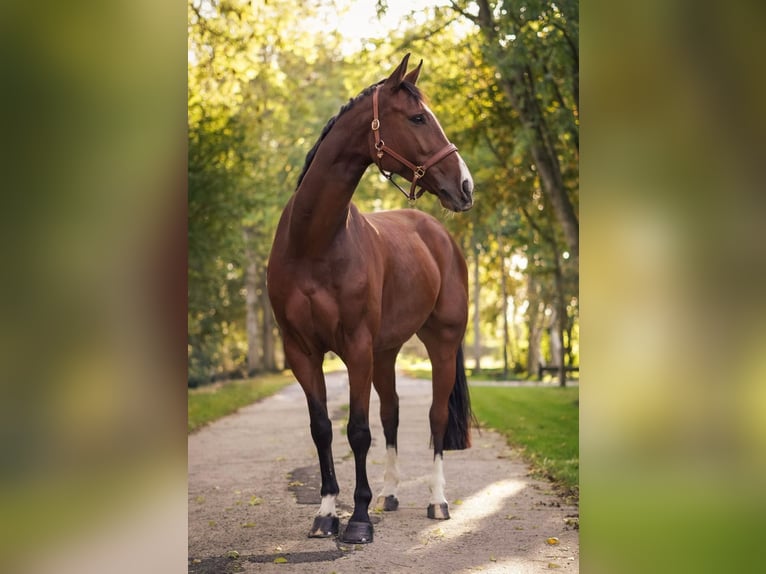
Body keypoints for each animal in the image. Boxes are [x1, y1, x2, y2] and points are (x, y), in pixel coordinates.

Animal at [268, 56, 474, 548]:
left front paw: (358, 520)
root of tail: (439, 235)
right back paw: (389, 494)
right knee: (392, 414)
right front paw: (327, 514)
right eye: (417, 118)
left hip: (439, 344)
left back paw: (437, 501)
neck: (313, 243)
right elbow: (323, 429)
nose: (466, 185)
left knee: (436, 417)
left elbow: (357, 432)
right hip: (386, 352)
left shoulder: (356, 348)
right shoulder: (301, 352)